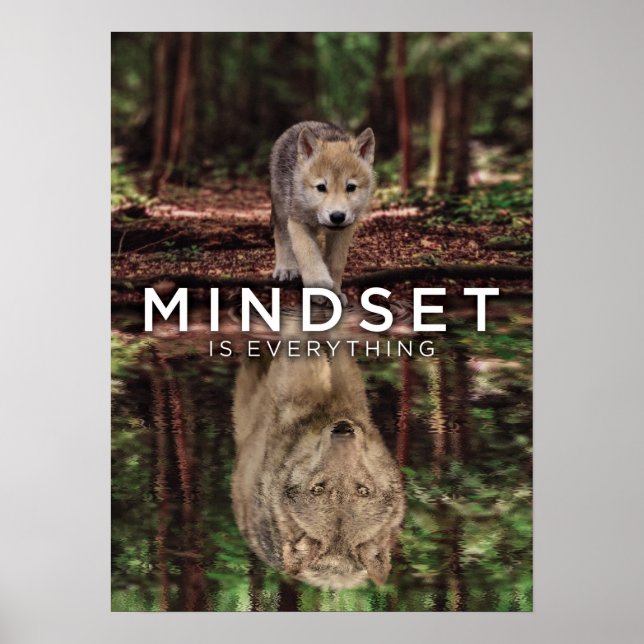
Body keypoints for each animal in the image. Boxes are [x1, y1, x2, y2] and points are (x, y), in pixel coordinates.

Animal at [269, 121, 376, 306]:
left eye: (350, 187)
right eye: (321, 187)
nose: (337, 216)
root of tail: (303, 123)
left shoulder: (345, 230)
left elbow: (335, 262)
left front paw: (334, 293)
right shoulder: (297, 221)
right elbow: (308, 252)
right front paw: (318, 283)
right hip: (282, 210)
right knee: (281, 236)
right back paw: (286, 268)